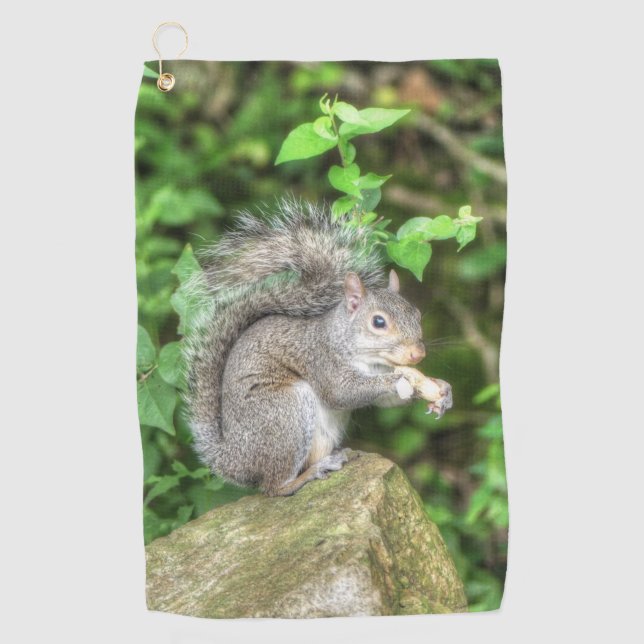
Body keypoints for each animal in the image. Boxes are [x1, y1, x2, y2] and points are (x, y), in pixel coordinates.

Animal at [183, 201, 452, 497]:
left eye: (416, 314)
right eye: (378, 322)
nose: (418, 355)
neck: (369, 359)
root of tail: (233, 461)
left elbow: (386, 401)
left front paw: (442, 390)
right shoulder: (320, 359)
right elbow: (341, 392)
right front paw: (401, 379)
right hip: (285, 413)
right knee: (273, 487)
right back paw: (308, 475)